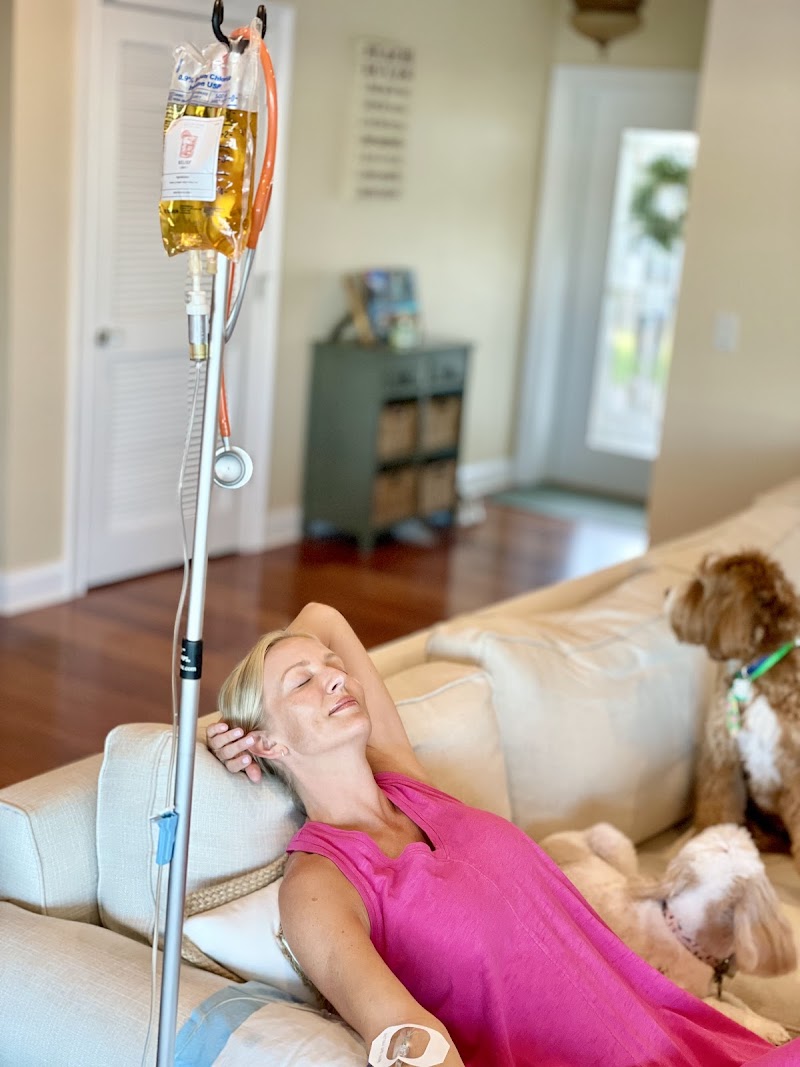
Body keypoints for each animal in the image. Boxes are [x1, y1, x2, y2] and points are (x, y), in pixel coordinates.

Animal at [540, 822, 797, 1044]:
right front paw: (766, 1029)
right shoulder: (685, 996)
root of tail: (548, 842)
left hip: (613, 842)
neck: (685, 935)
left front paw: (766, 1023)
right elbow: (725, 1009)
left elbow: (737, 1001)